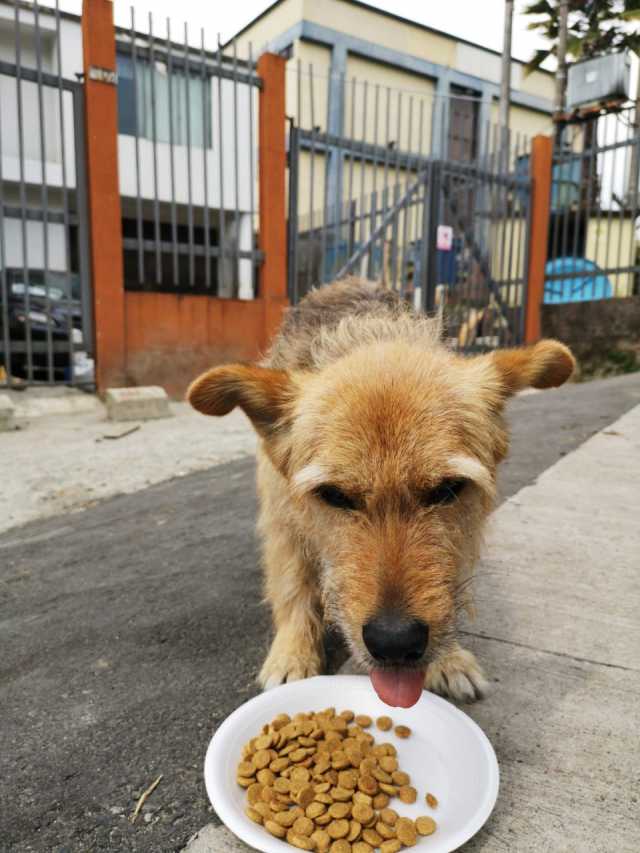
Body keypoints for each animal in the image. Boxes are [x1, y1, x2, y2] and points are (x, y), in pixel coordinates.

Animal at [186, 278, 576, 704]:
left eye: (448, 489)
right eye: (334, 495)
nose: (395, 643)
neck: (371, 335)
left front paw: (448, 658)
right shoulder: (283, 519)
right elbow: (292, 585)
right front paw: (293, 654)